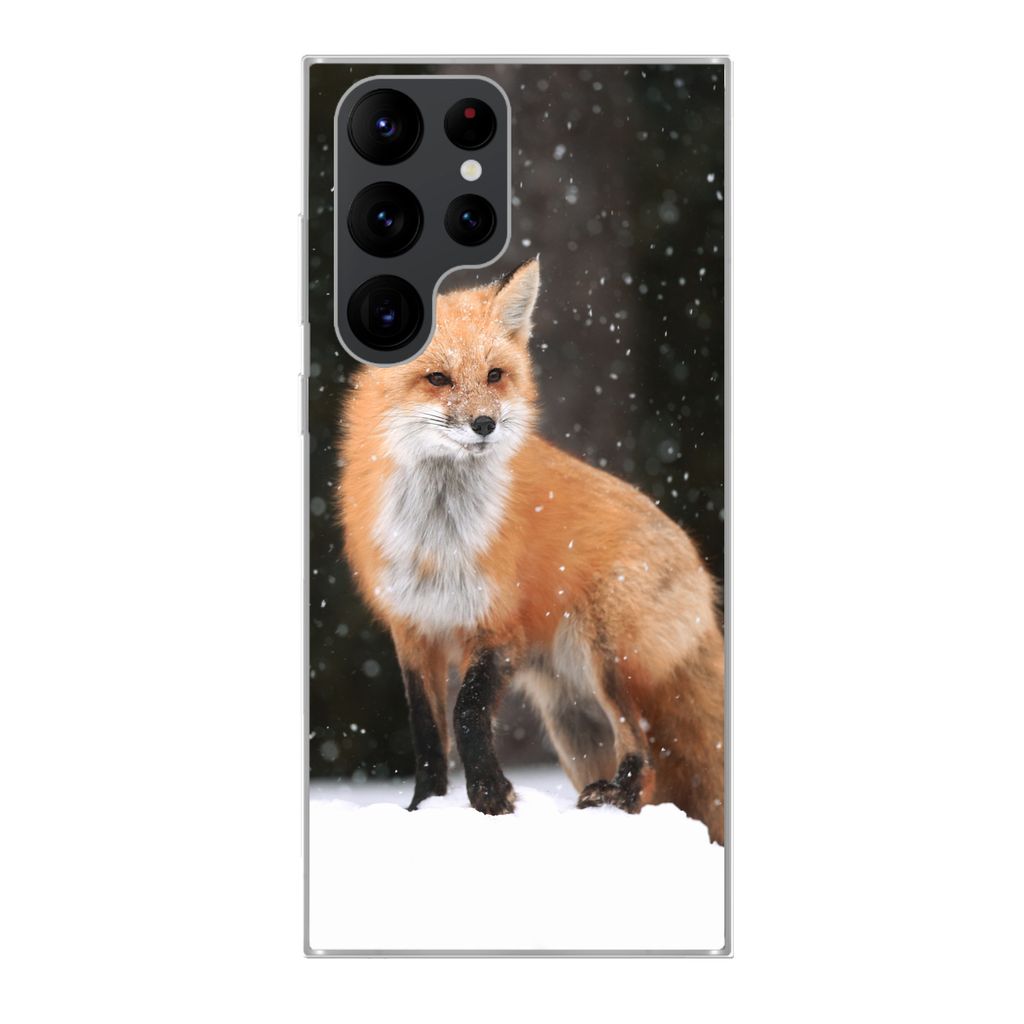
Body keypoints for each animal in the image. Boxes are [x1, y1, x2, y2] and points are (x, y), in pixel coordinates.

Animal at [337, 256, 725, 844]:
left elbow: (468, 712)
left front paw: (490, 797)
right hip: (574, 720)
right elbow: (426, 734)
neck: (438, 540)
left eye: (495, 375)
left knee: (644, 747)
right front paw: (424, 808)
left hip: (607, 658)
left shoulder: (498, 627)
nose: (485, 424)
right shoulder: (413, 629)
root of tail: (704, 576)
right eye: (437, 378)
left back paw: (616, 794)